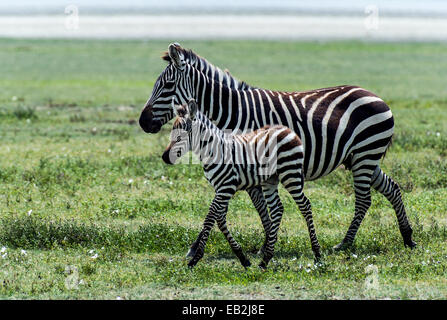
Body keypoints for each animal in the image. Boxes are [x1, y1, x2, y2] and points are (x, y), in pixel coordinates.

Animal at [140, 43, 416, 251]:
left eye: (166, 86)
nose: (142, 122)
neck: (233, 112)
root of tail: (375, 96)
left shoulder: (251, 162)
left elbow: (260, 207)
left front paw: (266, 244)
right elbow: (255, 207)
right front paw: (266, 243)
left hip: (364, 155)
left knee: (363, 200)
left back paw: (345, 244)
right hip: (363, 157)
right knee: (392, 188)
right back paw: (407, 237)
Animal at [163, 99, 320, 268]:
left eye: (181, 136)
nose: (165, 157)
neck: (214, 151)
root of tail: (286, 129)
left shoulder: (226, 187)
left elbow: (210, 218)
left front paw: (195, 258)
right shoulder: (221, 188)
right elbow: (220, 219)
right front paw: (242, 257)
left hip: (290, 172)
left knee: (305, 205)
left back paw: (317, 254)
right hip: (270, 179)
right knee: (277, 209)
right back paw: (265, 259)